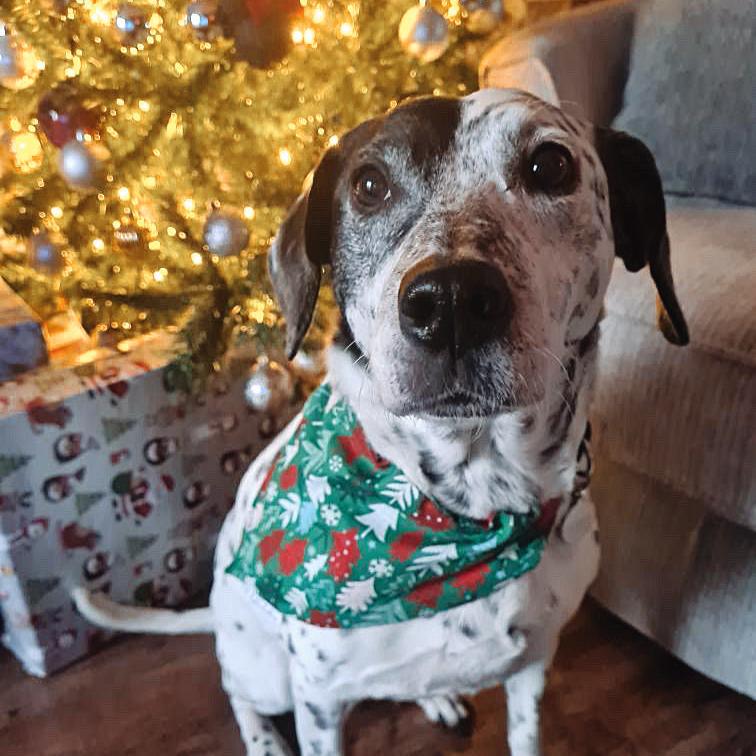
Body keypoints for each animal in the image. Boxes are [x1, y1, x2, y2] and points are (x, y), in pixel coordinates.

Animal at [74, 90, 688, 756]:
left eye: (551, 165)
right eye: (369, 185)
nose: (450, 301)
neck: (471, 506)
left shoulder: (535, 663)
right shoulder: (319, 701)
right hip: (267, 675)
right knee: (238, 695)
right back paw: (264, 739)